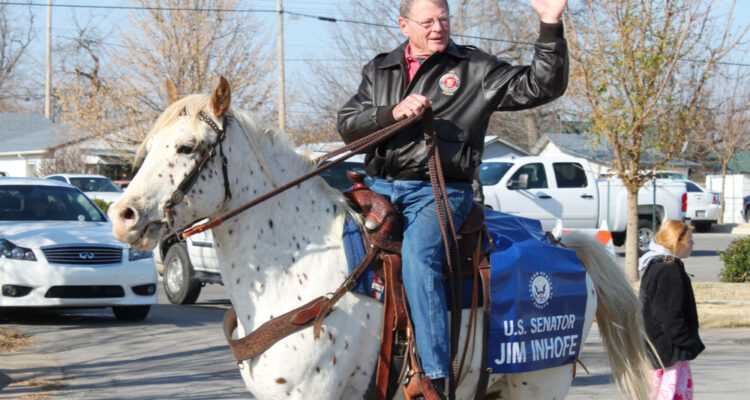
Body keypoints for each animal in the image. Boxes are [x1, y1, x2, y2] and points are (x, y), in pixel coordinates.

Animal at [108, 79, 656, 400]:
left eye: (186, 147)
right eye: (148, 147)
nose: (122, 215)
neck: (297, 270)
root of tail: (565, 247)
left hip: (538, 383)